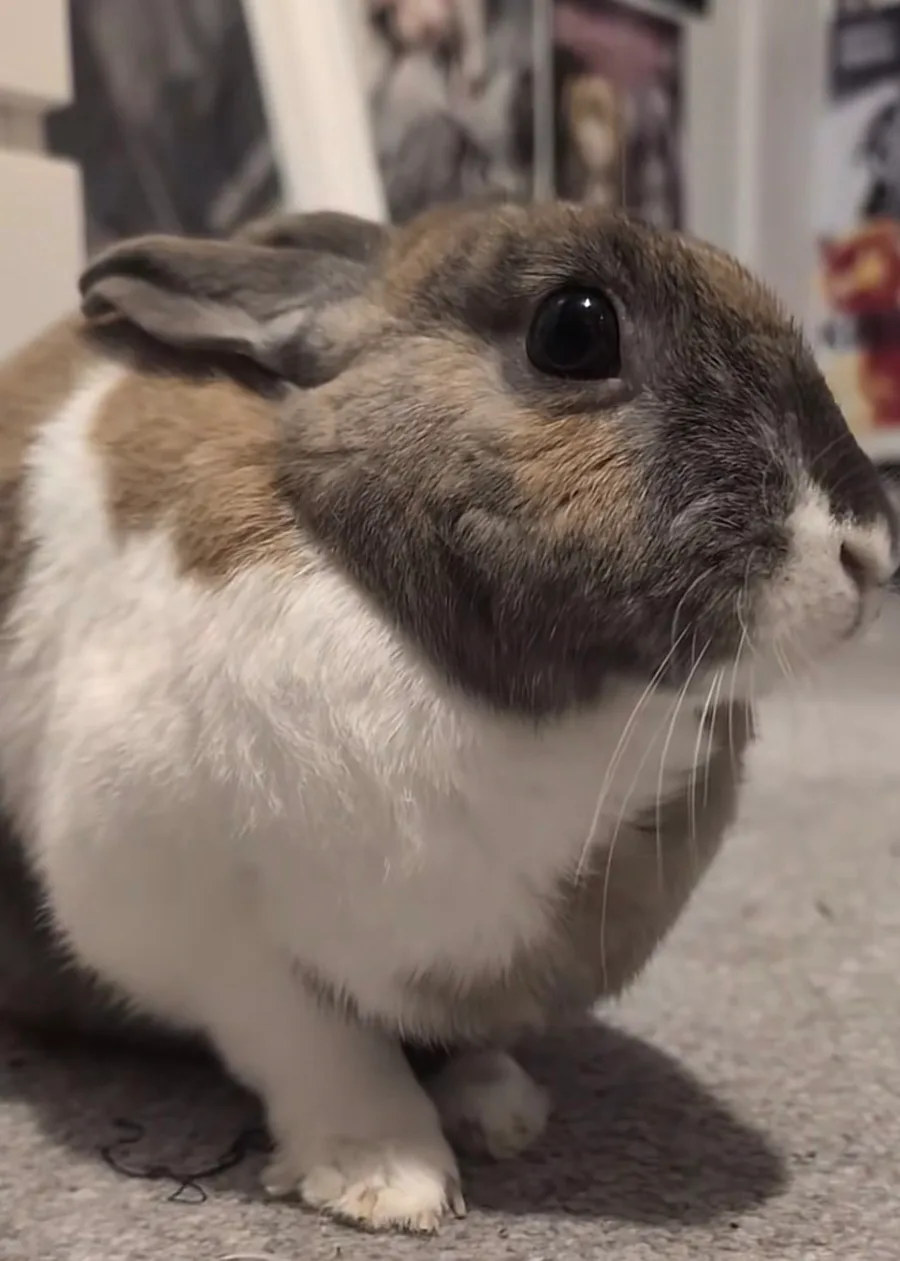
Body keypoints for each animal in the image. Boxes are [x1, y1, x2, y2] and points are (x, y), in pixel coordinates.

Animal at [0, 199, 894, 1234]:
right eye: (573, 330)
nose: (870, 551)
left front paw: (502, 1108)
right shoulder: (198, 924)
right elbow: (315, 1043)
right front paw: (387, 1179)